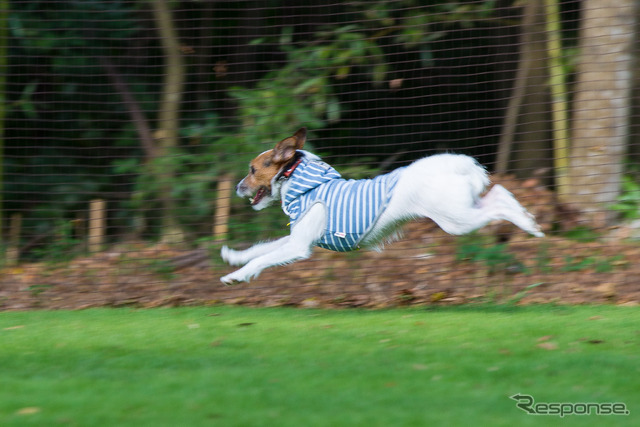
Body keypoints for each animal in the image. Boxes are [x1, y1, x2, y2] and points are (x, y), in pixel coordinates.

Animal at [221, 129, 544, 286]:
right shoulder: (296, 238)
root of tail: (462, 164)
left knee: (497, 204)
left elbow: (263, 259)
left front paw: (235, 277)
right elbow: (262, 248)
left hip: (456, 220)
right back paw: (529, 219)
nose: (237, 187)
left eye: (252, 170)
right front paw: (234, 256)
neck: (304, 184)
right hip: (463, 208)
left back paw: (529, 225)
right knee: (501, 192)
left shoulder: (299, 246)